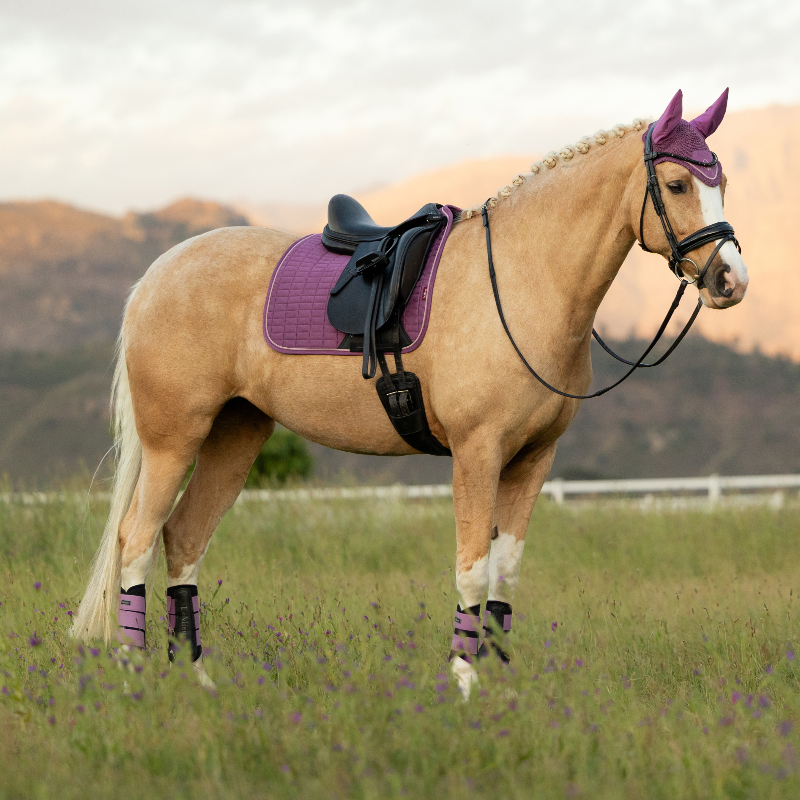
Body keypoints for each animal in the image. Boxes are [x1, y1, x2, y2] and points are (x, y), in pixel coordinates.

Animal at [72, 89, 748, 696]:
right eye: (679, 185)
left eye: (721, 182)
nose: (731, 280)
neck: (522, 279)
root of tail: (156, 275)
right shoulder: (477, 454)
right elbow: (473, 573)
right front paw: (464, 685)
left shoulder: (534, 459)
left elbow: (505, 577)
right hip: (174, 438)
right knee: (135, 540)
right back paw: (134, 679)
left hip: (236, 432)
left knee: (183, 539)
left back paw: (200, 682)